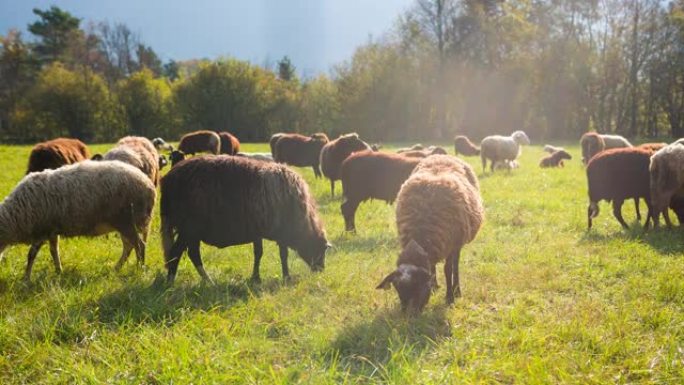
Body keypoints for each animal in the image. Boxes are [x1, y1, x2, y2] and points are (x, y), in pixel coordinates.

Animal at [0, 159, 156, 280]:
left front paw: (26, 278)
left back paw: (139, 269)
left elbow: (31, 255)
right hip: (123, 223)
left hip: (126, 221)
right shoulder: (52, 231)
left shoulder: (42, 231)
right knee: (129, 246)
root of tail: (149, 185)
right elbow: (54, 251)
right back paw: (117, 268)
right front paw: (59, 271)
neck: (15, 215)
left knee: (139, 245)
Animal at [160, 154, 332, 284]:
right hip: (188, 228)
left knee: (192, 254)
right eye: (321, 249)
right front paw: (286, 277)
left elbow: (258, 253)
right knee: (177, 252)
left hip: (191, 231)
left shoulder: (257, 233)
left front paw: (256, 278)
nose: (320, 270)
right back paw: (172, 282)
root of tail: (168, 179)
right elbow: (283, 255)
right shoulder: (281, 234)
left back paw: (207, 281)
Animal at [376, 154, 484, 312]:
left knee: (456, 265)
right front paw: (433, 287)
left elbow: (448, 269)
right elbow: (432, 269)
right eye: (397, 289)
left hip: (458, 240)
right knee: (433, 265)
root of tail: (442, 155)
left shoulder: (450, 243)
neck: (420, 233)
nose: (408, 315)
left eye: (418, 287)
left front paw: (449, 298)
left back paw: (457, 290)